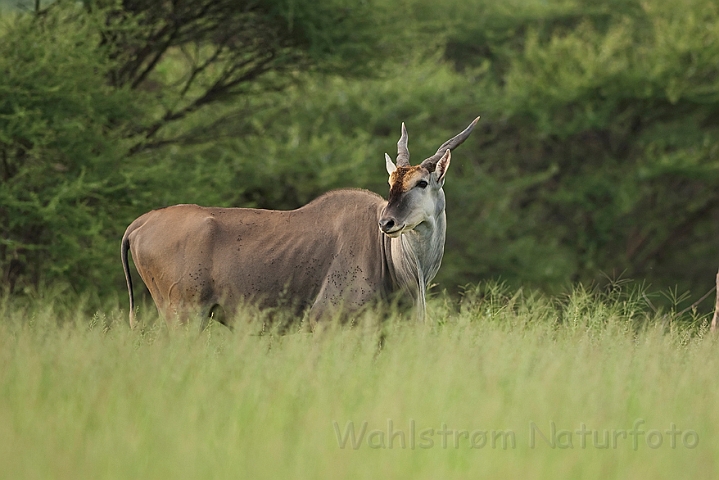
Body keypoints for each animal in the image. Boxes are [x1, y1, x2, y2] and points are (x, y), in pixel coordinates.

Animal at [121, 116, 480, 328]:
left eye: (421, 182)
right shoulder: (325, 322)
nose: (387, 223)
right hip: (183, 314)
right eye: (391, 181)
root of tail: (140, 224)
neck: (395, 262)